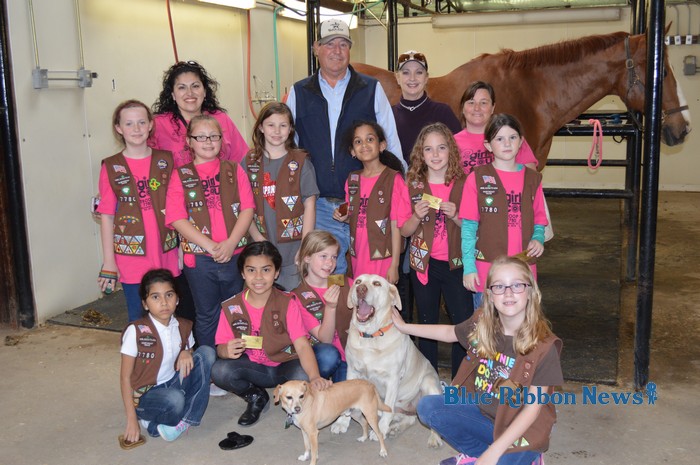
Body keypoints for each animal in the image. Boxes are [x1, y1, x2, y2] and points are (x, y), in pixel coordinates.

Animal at [332, 274, 442, 448]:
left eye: (377, 283)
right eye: (358, 281)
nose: (360, 289)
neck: (370, 336)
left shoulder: (392, 378)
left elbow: (388, 407)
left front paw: (380, 430)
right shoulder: (352, 372)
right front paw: (342, 422)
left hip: (428, 383)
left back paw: (433, 438)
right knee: (409, 418)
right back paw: (395, 427)